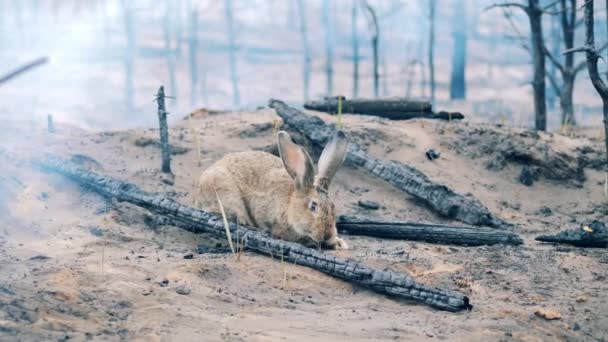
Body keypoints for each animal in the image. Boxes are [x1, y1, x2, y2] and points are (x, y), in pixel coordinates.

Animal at [194, 130, 346, 250]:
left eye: (333, 208)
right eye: (313, 206)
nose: (327, 235)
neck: (290, 206)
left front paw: (339, 243)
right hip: (227, 196)